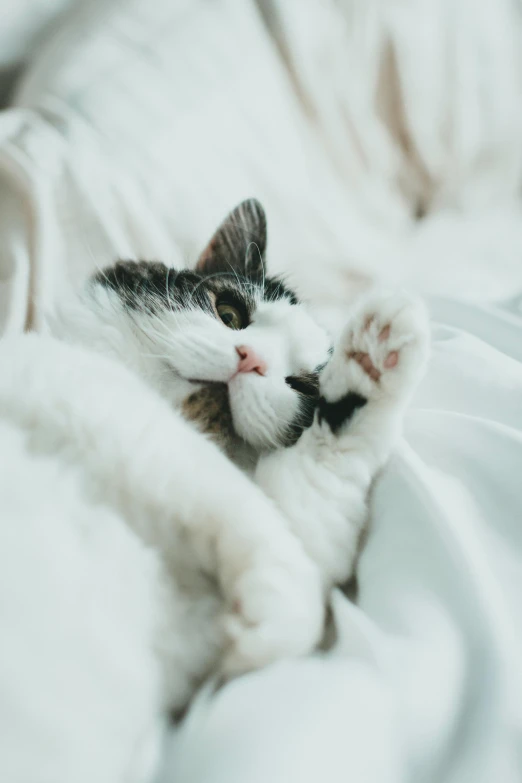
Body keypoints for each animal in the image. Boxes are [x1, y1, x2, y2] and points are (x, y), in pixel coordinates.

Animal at [0, 198, 426, 783]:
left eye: (301, 387)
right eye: (229, 314)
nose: (250, 360)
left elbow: (312, 506)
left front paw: (371, 365)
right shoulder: (108, 406)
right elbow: (246, 511)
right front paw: (280, 616)